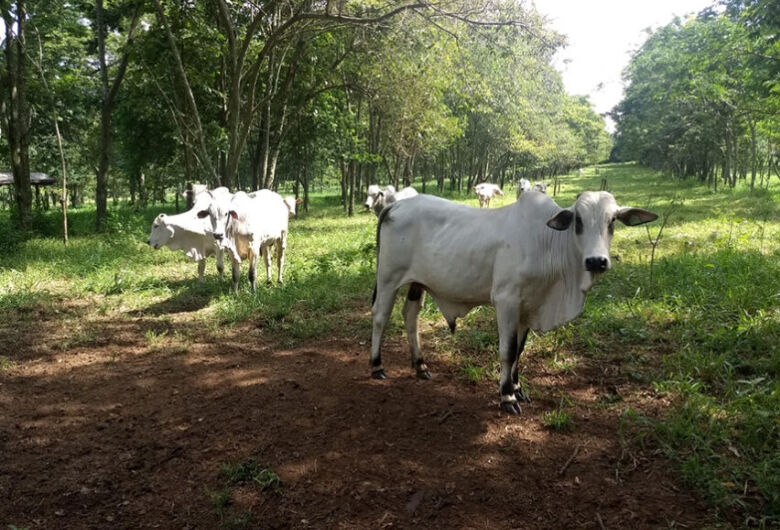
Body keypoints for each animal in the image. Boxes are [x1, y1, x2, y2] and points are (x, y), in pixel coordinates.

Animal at [368, 190, 656, 412]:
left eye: (612, 221)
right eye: (579, 222)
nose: (596, 261)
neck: (547, 243)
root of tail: (397, 204)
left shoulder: (529, 307)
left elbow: (519, 350)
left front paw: (518, 388)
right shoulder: (507, 301)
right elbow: (507, 350)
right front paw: (506, 396)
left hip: (417, 283)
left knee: (410, 315)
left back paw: (420, 365)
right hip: (388, 277)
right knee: (380, 316)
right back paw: (376, 365)